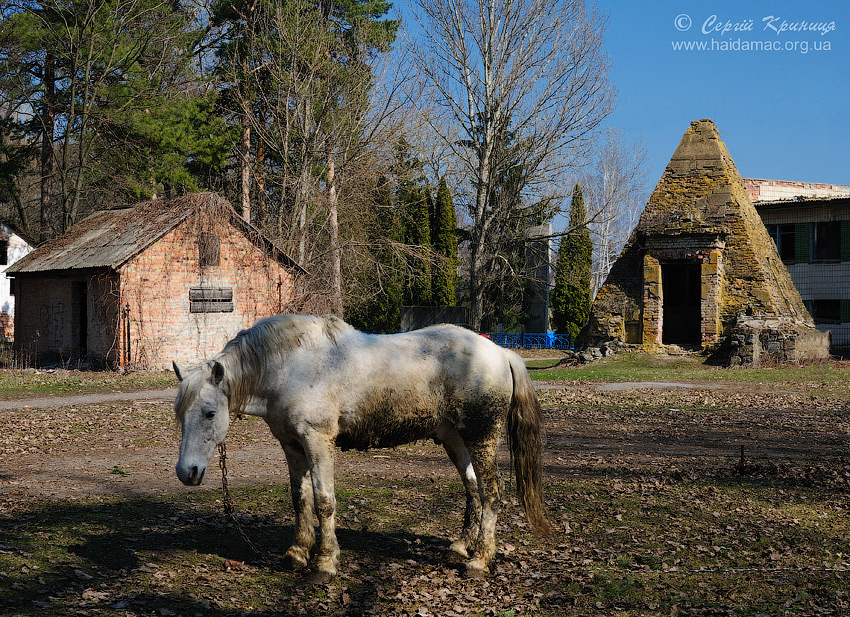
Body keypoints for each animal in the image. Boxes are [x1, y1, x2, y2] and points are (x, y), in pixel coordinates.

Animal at [176, 316, 552, 580]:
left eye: (210, 413)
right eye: (180, 414)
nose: (186, 472)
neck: (290, 365)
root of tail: (501, 353)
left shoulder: (318, 442)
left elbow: (324, 501)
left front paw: (325, 563)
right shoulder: (292, 445)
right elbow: (300, 499)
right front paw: (297, 553)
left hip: (481, 437)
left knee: (491, 494)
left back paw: (479, 560)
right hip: (455, 439)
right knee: (473, 488)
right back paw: (461, 547)